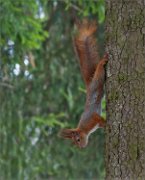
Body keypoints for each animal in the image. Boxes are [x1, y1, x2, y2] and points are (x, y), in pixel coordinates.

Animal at [58, 18, 107, 148]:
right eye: (75, 142)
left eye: (78, 139)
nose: (81, 147)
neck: (85, 129)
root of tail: (89, 86)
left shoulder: (91, 118)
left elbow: (98, 118)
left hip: (97, 81)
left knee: (100, 72)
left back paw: (102, 62)